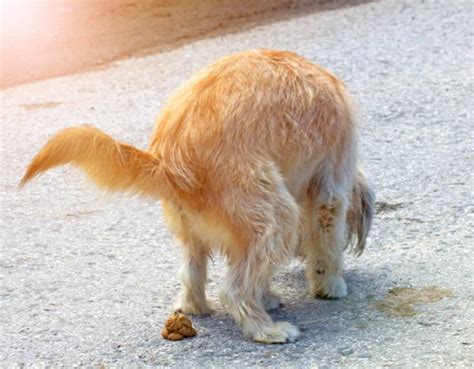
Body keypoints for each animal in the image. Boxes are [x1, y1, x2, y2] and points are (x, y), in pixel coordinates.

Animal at [21, 49, 374, 342]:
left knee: (192, 274)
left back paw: (196, 307)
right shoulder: (331, 189)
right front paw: (330, 285)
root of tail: (171, 159)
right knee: (234, 289)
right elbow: (327, 241)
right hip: (278, 217)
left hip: (194, 229)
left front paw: (269, 296)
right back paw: (266, 330)